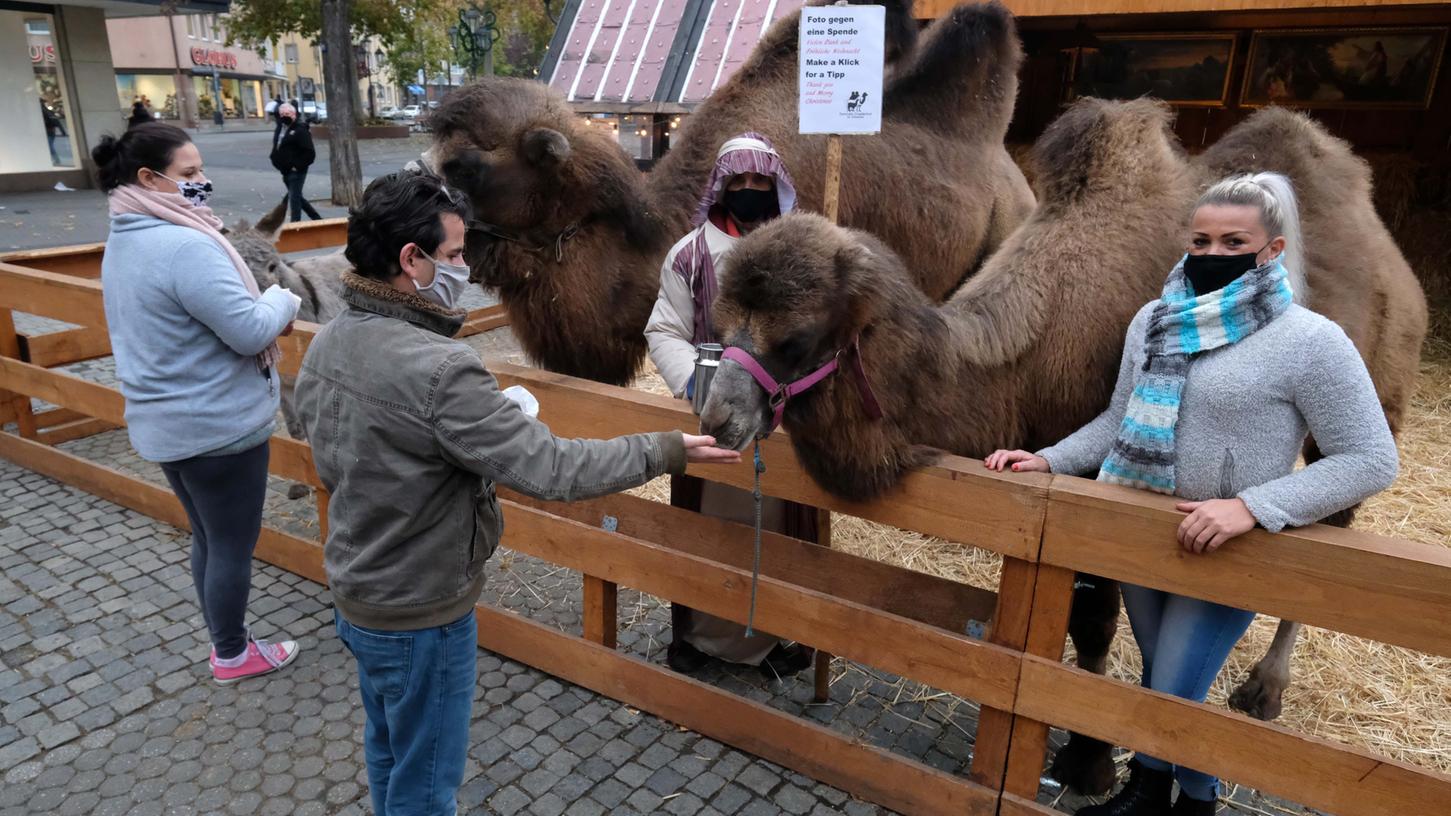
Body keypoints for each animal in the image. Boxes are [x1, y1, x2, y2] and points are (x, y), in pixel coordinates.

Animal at [699, 95, 1427, 789]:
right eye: (723, 322)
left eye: (795, 339)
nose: (715, 417)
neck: (1021, 361)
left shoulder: (1091, 495)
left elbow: (1095, 617)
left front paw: (1089, 761)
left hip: (1374, 399)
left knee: (1331, 526)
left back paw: (1264, 692)